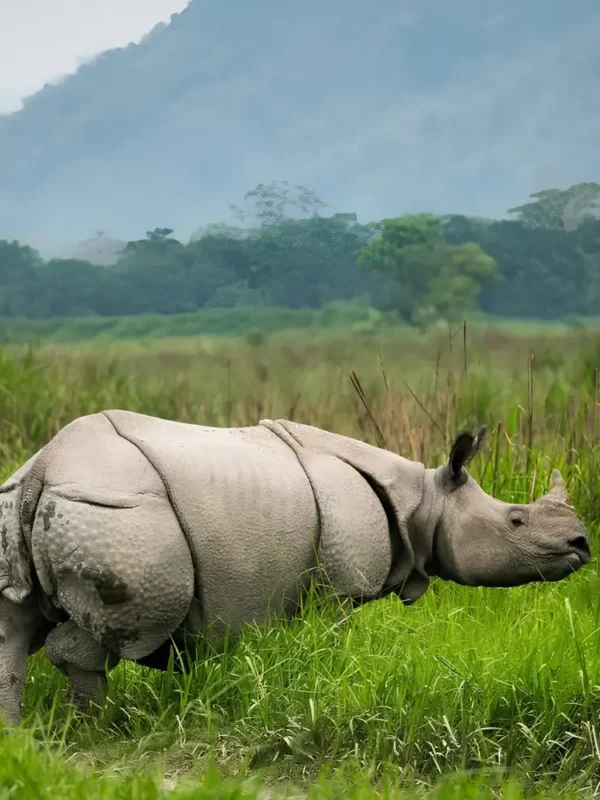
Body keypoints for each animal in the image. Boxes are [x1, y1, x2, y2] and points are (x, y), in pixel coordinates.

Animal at [0, 410, 590, 725]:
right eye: (515, 521)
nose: (582, 544)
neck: (424, 500)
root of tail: (43, 467)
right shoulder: (338, 587)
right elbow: (335, 643)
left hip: (29, 504)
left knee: (15, 627)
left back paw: (20, 735)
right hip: (120, 515)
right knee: (116, 633)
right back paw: (98, 727)